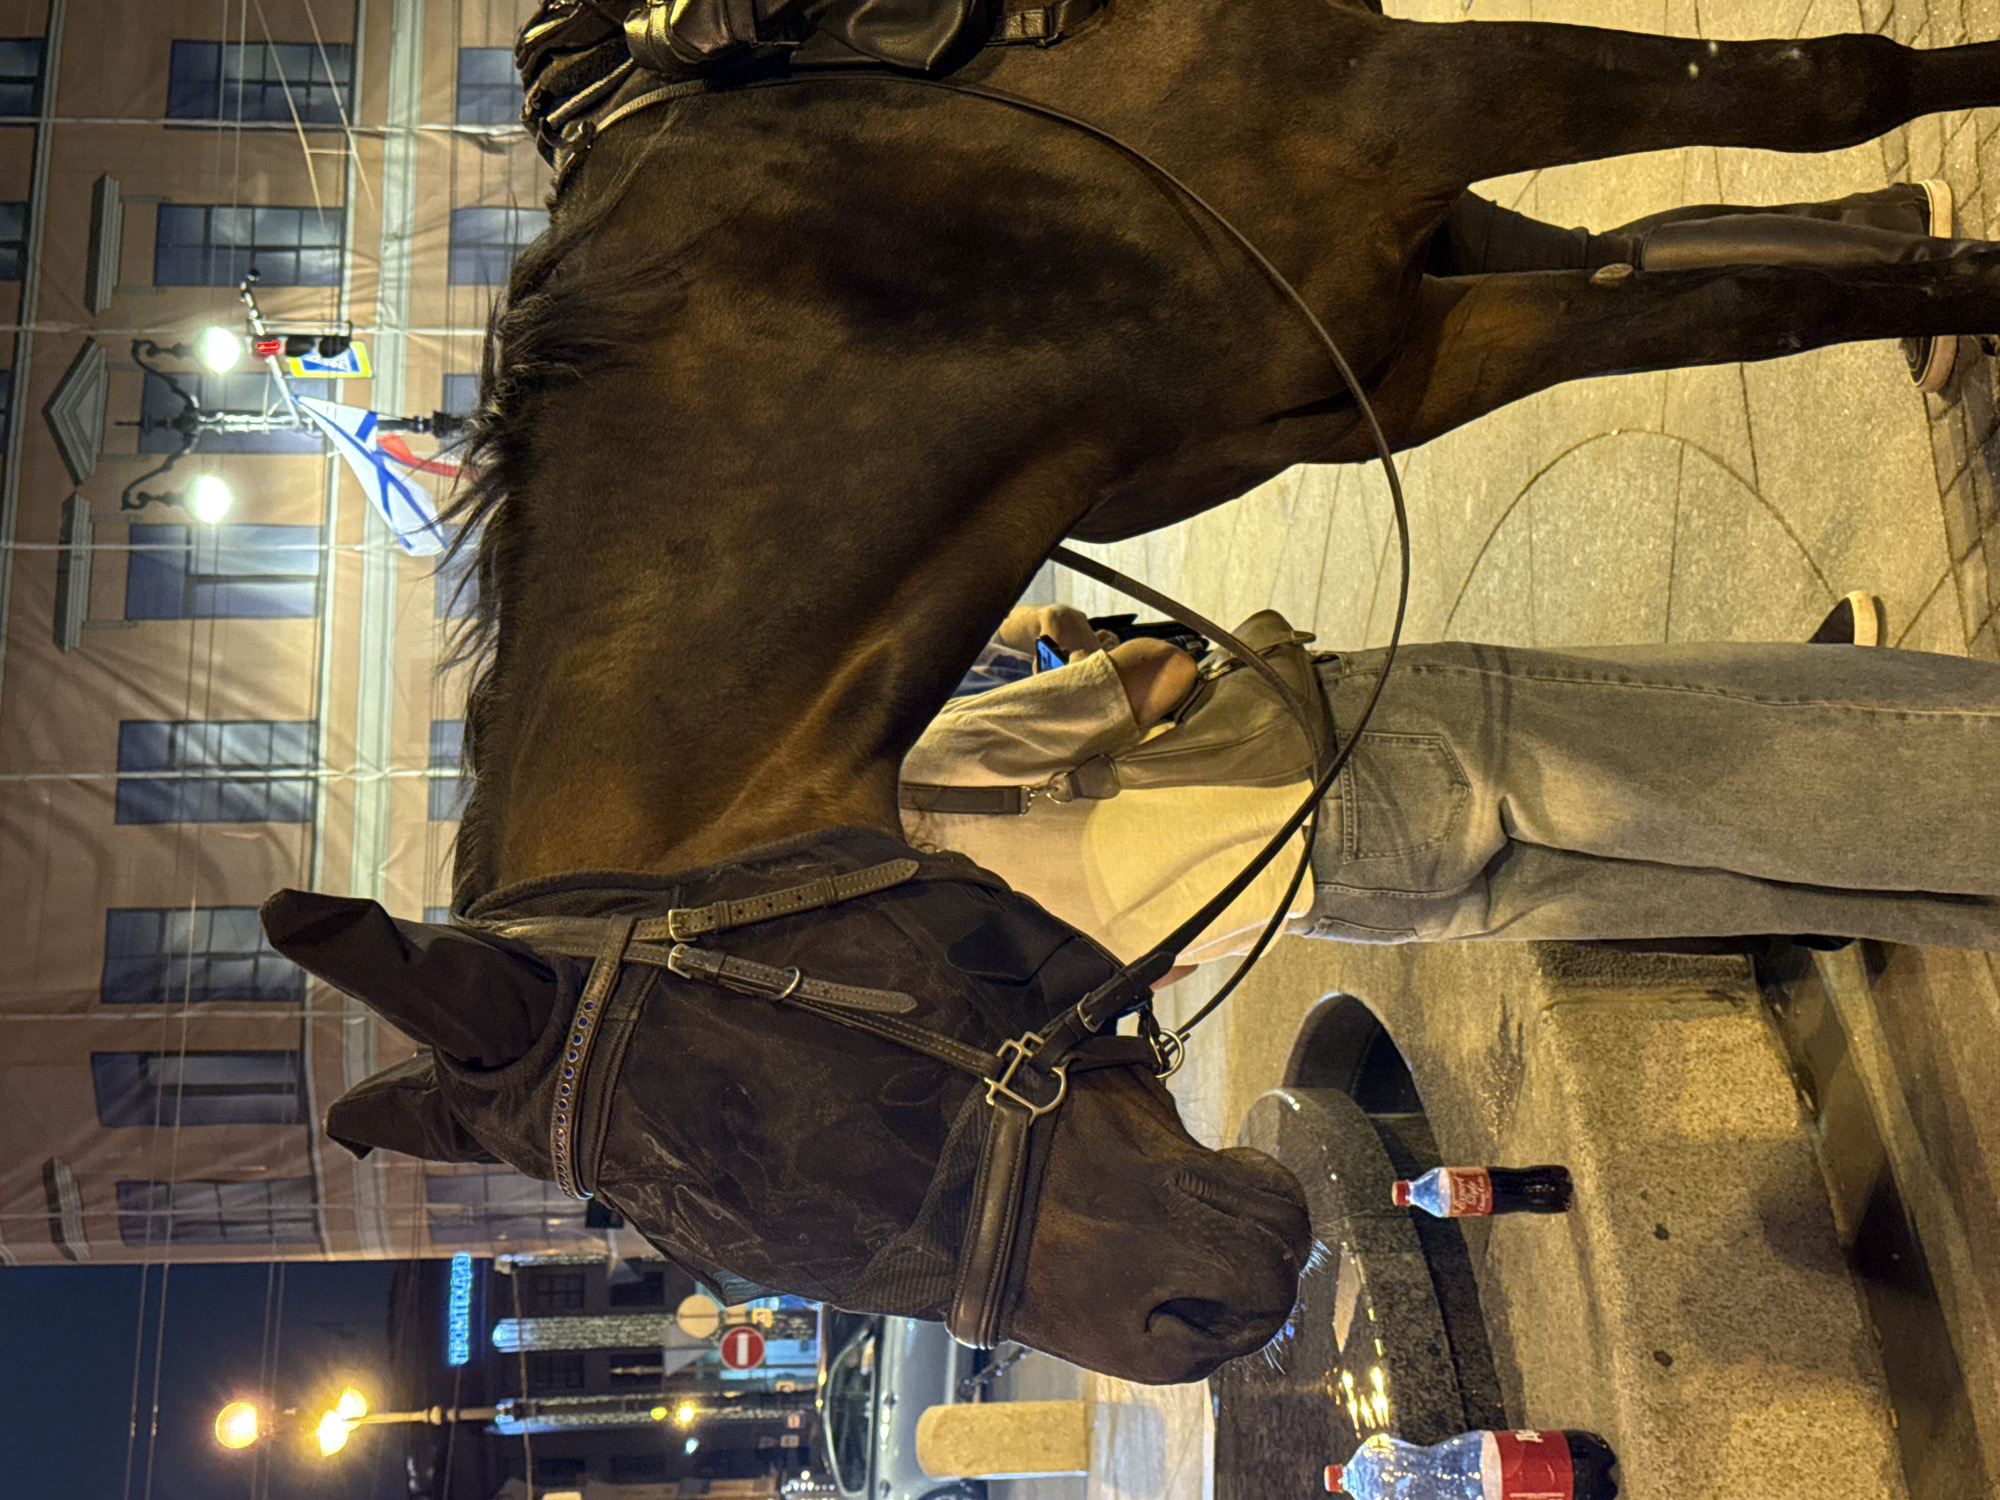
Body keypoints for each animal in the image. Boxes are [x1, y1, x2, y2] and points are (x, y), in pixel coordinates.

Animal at [263, 0, 2000, 1384]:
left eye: (774, 1115)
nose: (1188, 1323)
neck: (891, 274)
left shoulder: (1418, 102)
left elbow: (1820, 103)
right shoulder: (1385, 348)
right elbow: (1709, 289)